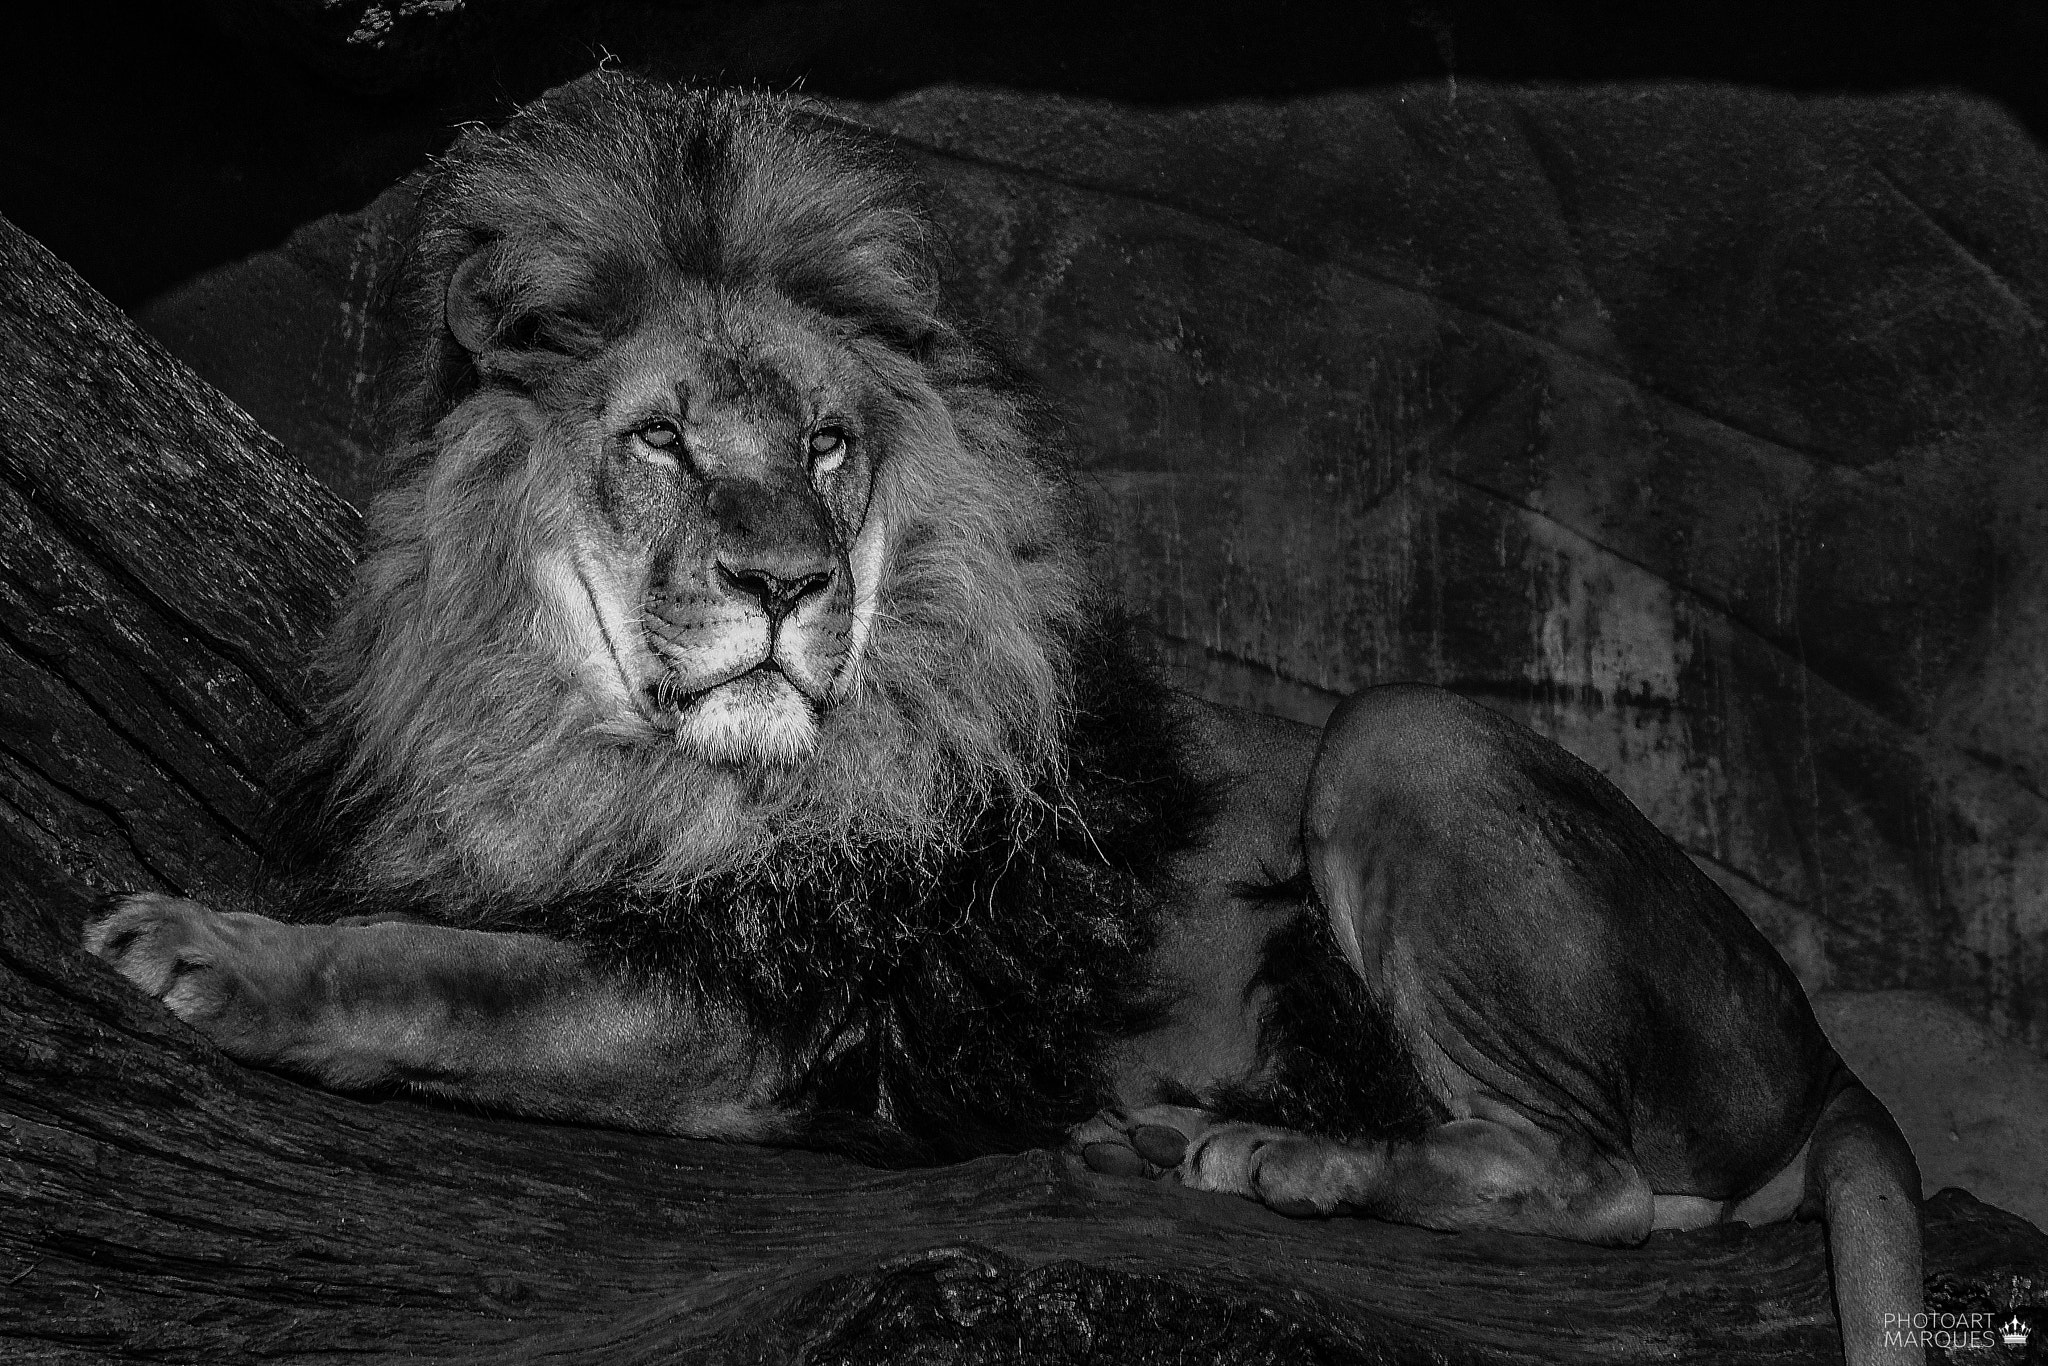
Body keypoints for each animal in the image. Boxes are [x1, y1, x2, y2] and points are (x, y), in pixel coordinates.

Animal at [83, 72, 1924, 1362]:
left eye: (827, 443)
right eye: (661, 438)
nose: (782, 584)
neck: (625, 758)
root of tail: (1815, 1035)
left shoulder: (784, 1001)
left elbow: (455, 977)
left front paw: (218, 951)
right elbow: (454, 925)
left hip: (1400, 732)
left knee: (1605, 1188)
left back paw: (1285, 1156)